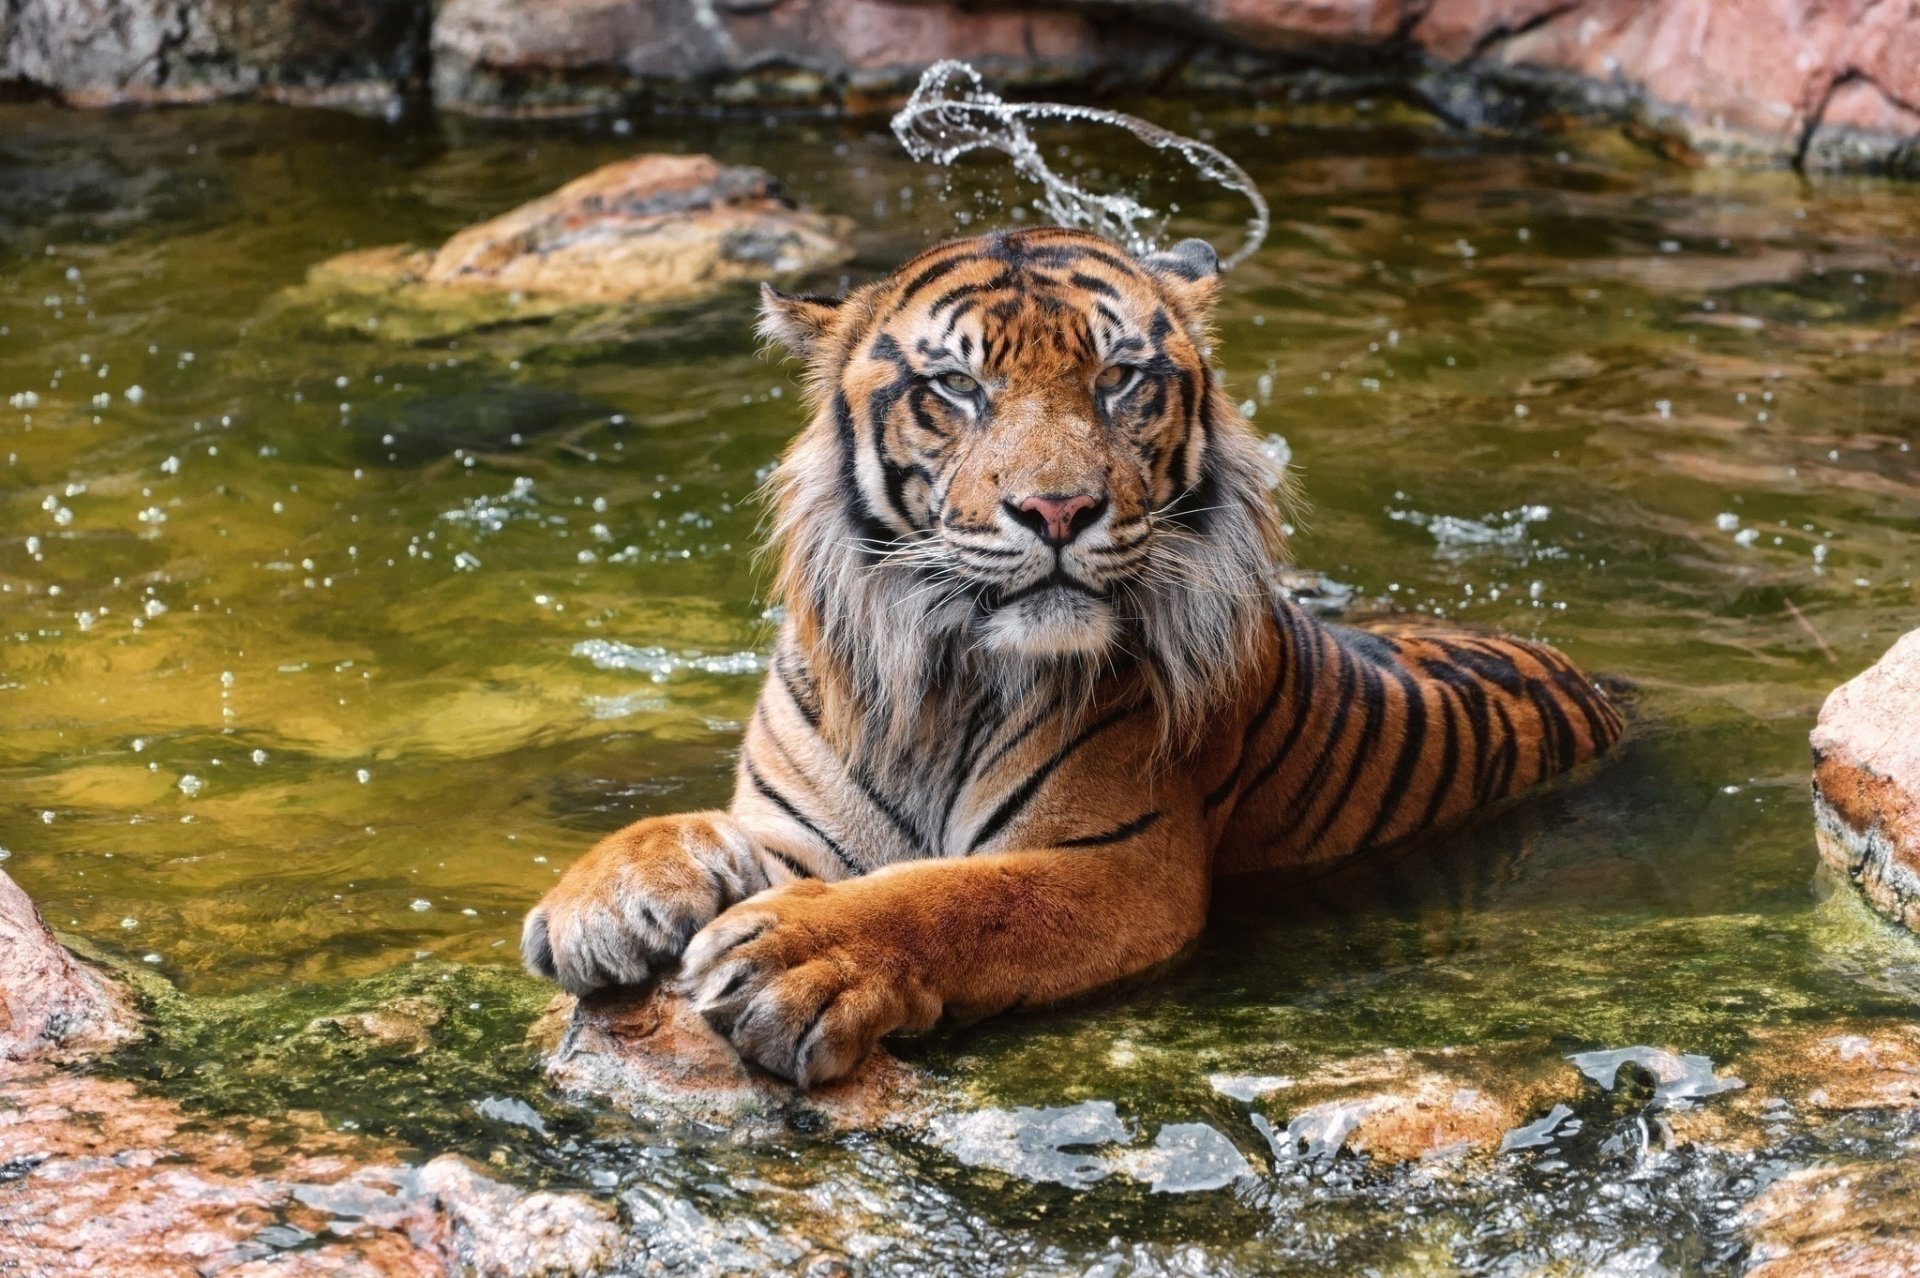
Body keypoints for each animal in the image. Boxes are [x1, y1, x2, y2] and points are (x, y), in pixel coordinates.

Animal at [522, 226, 1623, 1087]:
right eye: (959, 386)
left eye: (1117, 379)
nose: (1058, 509)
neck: (941, 679)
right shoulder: (790, 830)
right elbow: (682, 828)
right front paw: (598, 902)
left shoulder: (1121, 865)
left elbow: (953, 898)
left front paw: (789, 956)